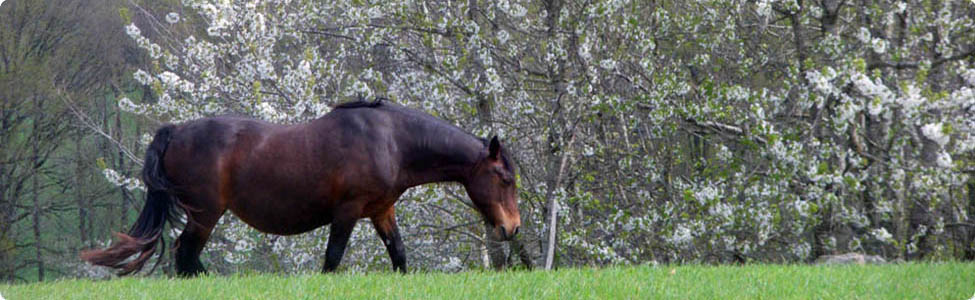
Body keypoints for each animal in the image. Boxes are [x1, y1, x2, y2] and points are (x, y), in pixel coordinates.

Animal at [83, 99, 524, 276]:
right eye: (505, 179)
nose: (512, 228)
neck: (391, 140)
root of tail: (175, 131)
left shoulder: (381, 211)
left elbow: (399, 255)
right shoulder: (347, 212)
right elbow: (332, 258)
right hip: (205, 214)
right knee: (185, 254)